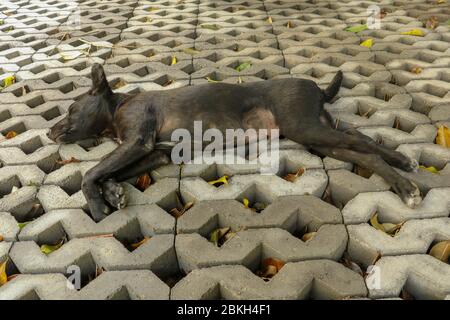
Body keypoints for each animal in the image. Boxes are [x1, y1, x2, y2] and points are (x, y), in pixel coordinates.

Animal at [47, 63, 420, 221]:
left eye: (71, 109)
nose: (49, 131)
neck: (118, 107)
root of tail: (316, 88)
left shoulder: (138, 142)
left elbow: (91, 172)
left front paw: (98, 205)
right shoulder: (154, 155)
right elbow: (109, 171)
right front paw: (113, 193)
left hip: (307, 129)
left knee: (366, 146)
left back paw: (405, 172)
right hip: (317, 137)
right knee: (363, 147)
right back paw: (402, 179)